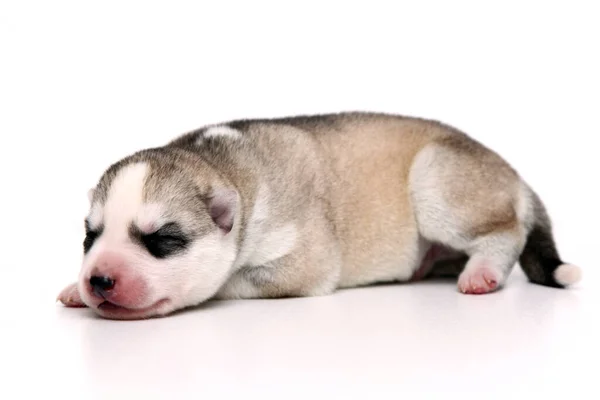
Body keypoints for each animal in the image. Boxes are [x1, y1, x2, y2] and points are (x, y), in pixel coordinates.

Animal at [56, 111, 580, 318]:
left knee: (505, 230)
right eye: (89, 236)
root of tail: (509, 170)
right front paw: (75, 288)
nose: (98, 279)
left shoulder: (303, 260)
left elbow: (231, 279)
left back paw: (483, 270)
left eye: (161, 240)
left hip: (439, 181)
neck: (224, 166)